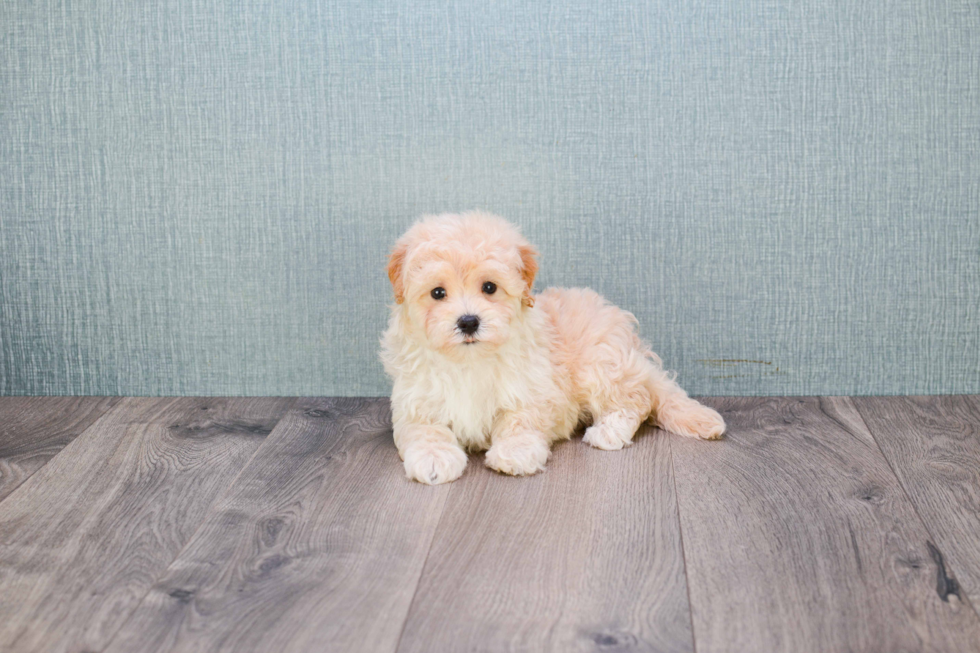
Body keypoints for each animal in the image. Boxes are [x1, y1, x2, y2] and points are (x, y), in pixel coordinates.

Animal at [378, 211, 724, 482]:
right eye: (437, 293)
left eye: (489, 287)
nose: (468, 322)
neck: (469, 361)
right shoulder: (416, 401)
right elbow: (426, 431)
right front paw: (433, 459)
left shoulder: (531, 390)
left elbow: (520, 422)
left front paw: (515, 452)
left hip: (600, 363)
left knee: (637, 399)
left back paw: (609, 431)